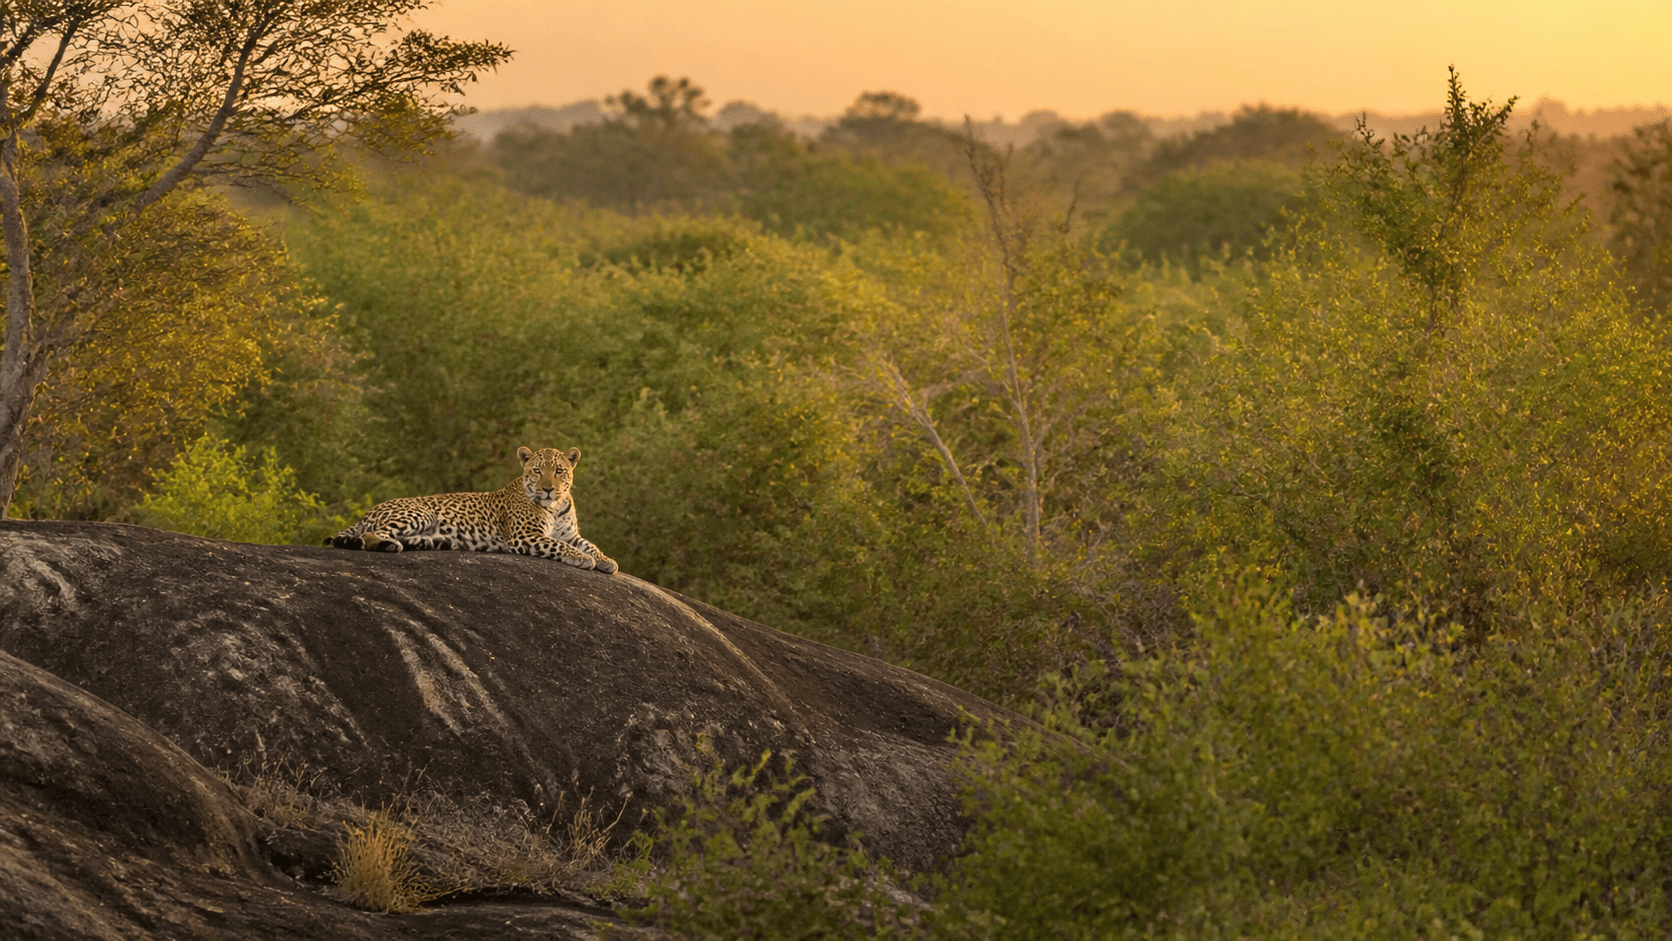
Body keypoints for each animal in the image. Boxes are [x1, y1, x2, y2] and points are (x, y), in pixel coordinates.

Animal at [324, 445, 618, 573]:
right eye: (537, 470)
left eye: (558, 471)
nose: (547, 489)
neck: (555, 506)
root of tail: (371, 510)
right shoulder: (527, 535)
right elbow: (560, 546)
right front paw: (582, 558)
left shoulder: (570, 534)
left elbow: (589, 544)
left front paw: (606, 560)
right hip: (420, 513)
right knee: (371, 534)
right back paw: (388, 545)